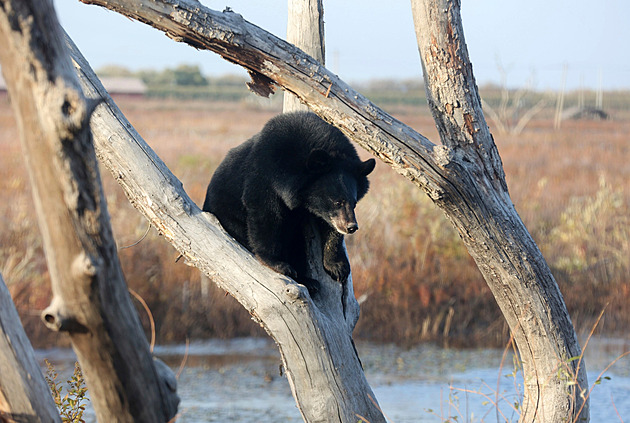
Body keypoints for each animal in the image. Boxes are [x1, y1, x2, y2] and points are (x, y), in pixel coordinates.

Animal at [205, 111, 378, 294]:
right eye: (337, 202)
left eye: (354, 202)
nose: (351, 227)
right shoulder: (265, 175)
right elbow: (265, 213)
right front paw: (278, 264)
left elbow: (329, 227)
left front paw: (338, 268)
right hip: (227, 213)